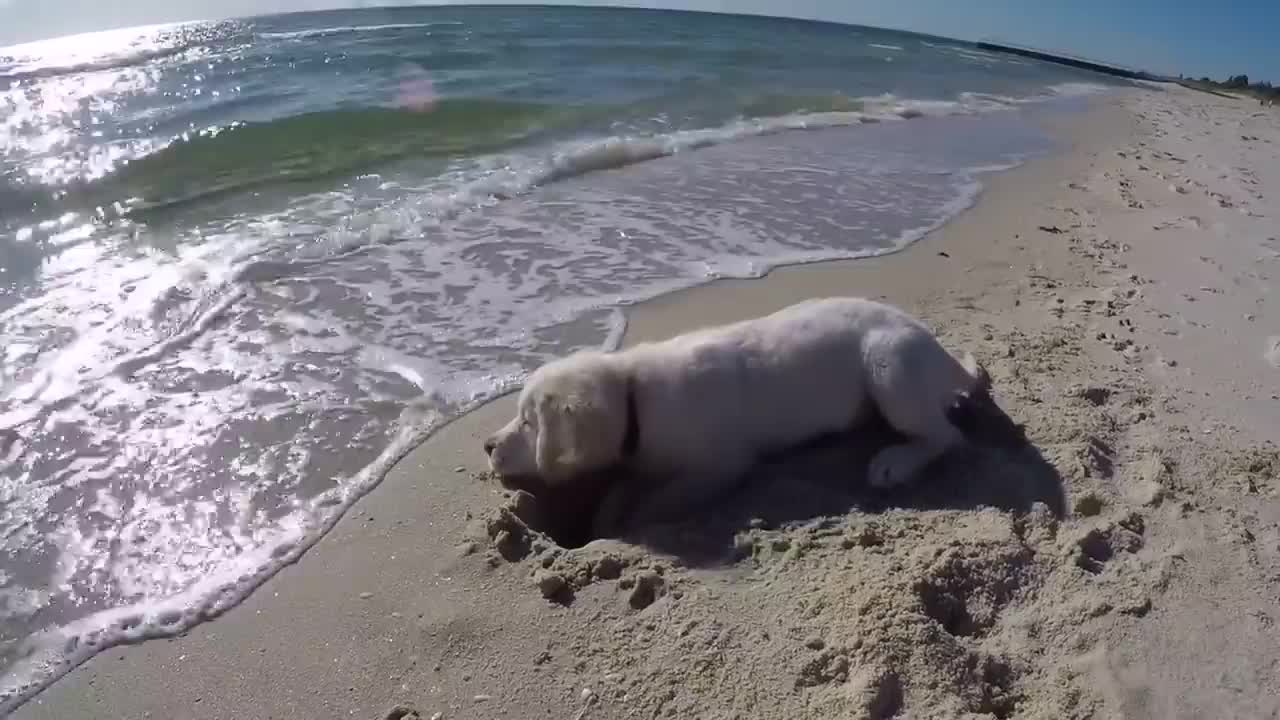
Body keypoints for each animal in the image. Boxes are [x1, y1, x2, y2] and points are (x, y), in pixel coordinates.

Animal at [483, 294, 983, 535]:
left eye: (528, 423)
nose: (486, 444)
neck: (634, 395)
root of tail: (941, 352)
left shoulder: (720, 466)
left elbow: (661, 499)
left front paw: (633, 518)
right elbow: (622, 489)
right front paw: (606, 517)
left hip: (889, 365)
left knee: (946, 437)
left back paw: (895, 462)